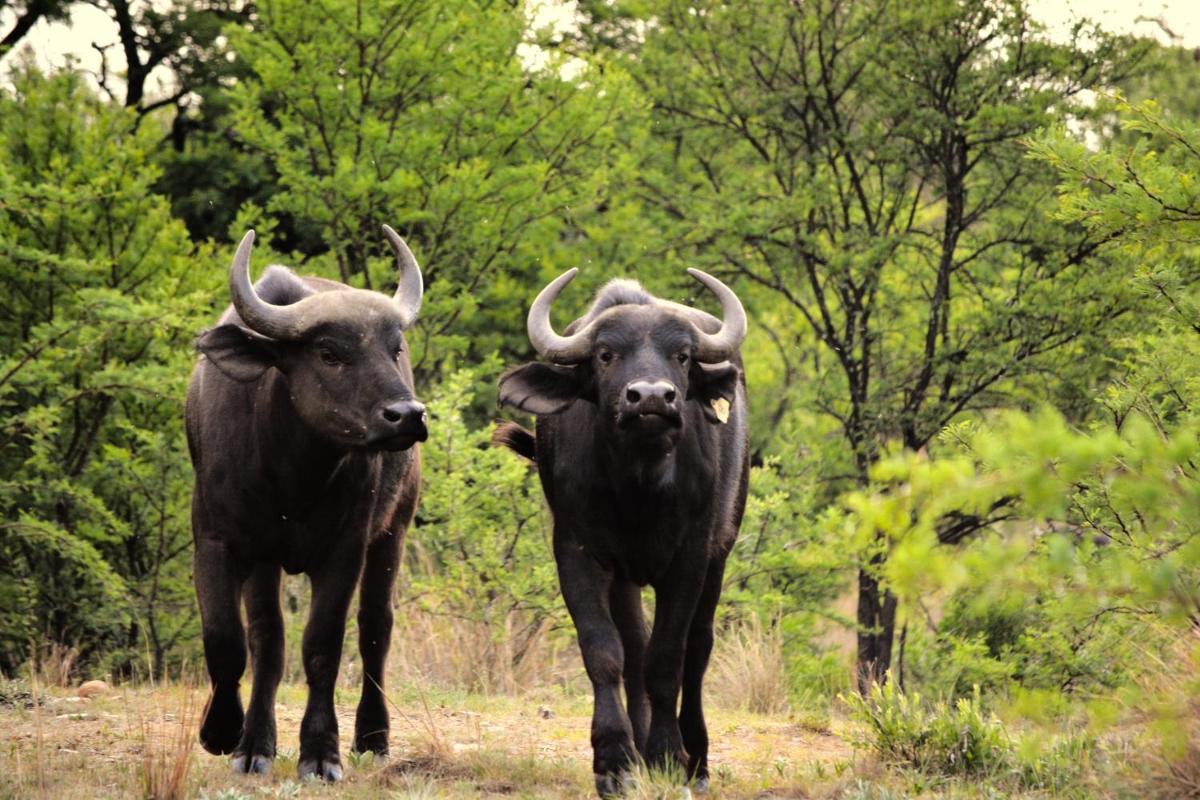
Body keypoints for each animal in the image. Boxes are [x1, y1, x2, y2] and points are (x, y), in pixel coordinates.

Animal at [186, 227, 426, 781]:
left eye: (394, 348)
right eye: (329, 353)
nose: (407, 415)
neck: (291, 475)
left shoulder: (345, 549)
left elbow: (322, 646)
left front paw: (320, 753)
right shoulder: (219, 541)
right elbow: (230, 640)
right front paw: (228, 735)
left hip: (394, 529)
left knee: (375, 629)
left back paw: (373, 735)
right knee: (266, 640)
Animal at [495, 269, 749, 795]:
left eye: (682, 355)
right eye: (605, 354)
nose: (651, 397)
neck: (640, 486)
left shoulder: (691, 556)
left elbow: (668, 658)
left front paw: (670, 755)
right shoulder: (579, 553)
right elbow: (606, 652)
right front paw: (615, 760)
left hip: (722, 549)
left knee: (698, 647)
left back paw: (697, 760)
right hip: (627, 576)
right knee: (633, 645)